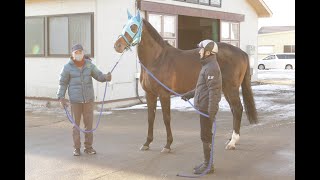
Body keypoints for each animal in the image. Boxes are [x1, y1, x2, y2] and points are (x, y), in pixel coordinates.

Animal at [114, 10, 256, 153]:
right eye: (124, 26)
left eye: (133, 27)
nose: (117, 46)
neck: (157, 59)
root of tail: (242, 53)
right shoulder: (150, 94)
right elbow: (150, 118)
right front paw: (147, 143)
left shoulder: (164, 95)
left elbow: (166, 118)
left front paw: (168, 145)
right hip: (225, 89)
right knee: (234, 110)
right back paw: (231, 139)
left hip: (231, 88)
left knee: (238, 109)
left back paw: (232, 142)